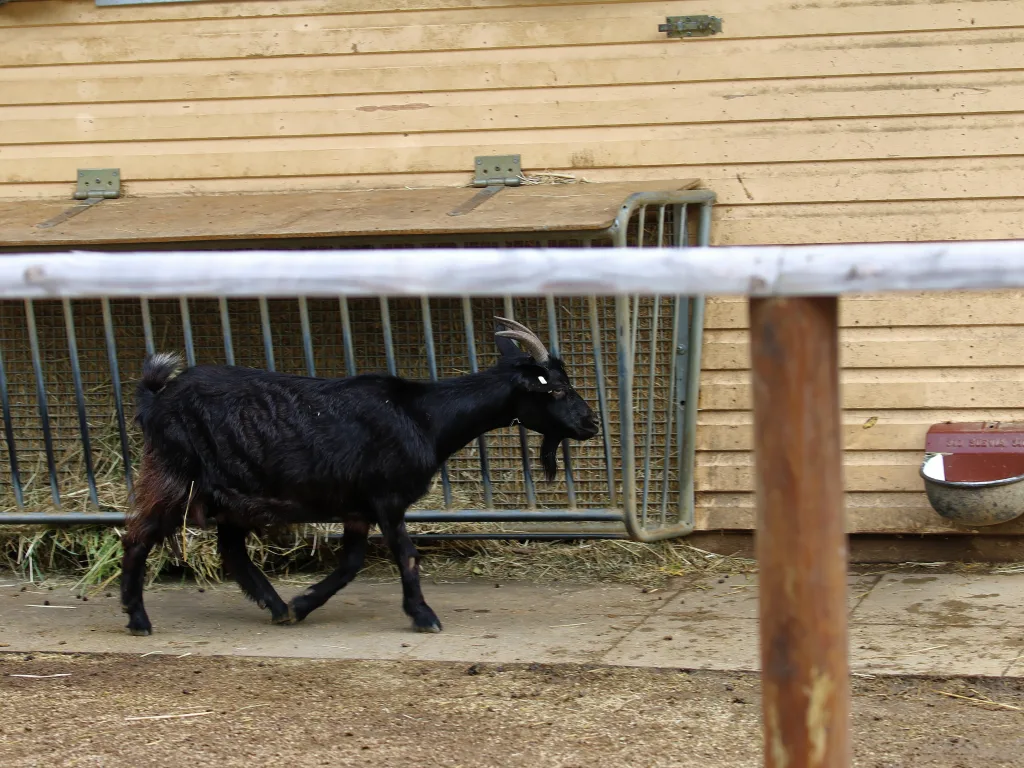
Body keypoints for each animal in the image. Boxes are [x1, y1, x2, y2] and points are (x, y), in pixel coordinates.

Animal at [120, 317, 600, 636]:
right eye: (556, 389)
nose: (592, 424)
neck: (424, 416)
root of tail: (156, 399)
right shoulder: (387, 497)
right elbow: (406, 554)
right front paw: (424, 616)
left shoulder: (357, 507)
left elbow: (351, 563)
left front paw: (305, 602)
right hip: (177, 476)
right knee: (138, 537)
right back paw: (138, 617)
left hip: (231, 494)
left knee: (232, 551)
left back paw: (278, 607)